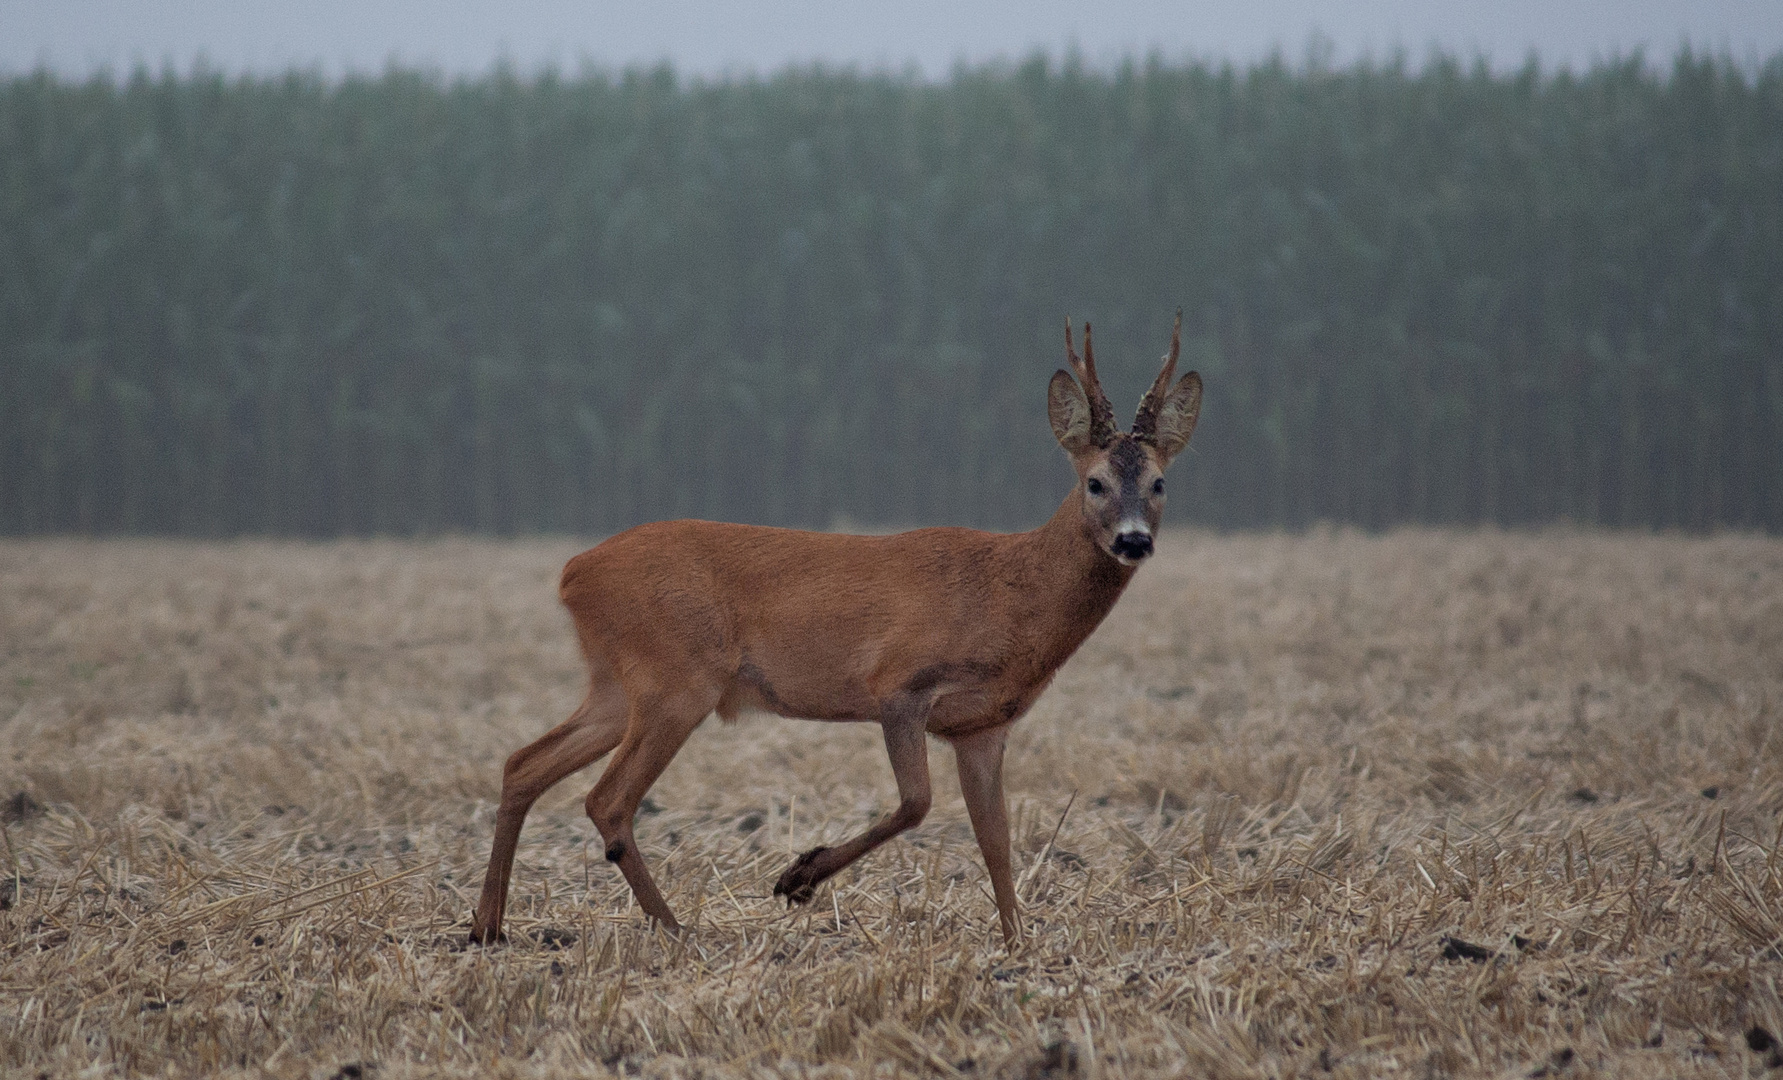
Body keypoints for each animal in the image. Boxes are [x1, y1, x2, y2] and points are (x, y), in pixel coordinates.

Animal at [467, 315, 1205, 948]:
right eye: (1095, 482)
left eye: (1160, 483)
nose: (1133, 541)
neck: (1010, 595)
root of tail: (573, 572)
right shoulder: (899, 686)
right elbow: (916, 803)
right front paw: (797, 877)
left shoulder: (984, 726)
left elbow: (995, 841)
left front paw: (1017, 942)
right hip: (675, 680)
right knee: (608, 798)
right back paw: (676, 930)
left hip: (616, 685)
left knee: (523, 763)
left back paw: (488, 926)